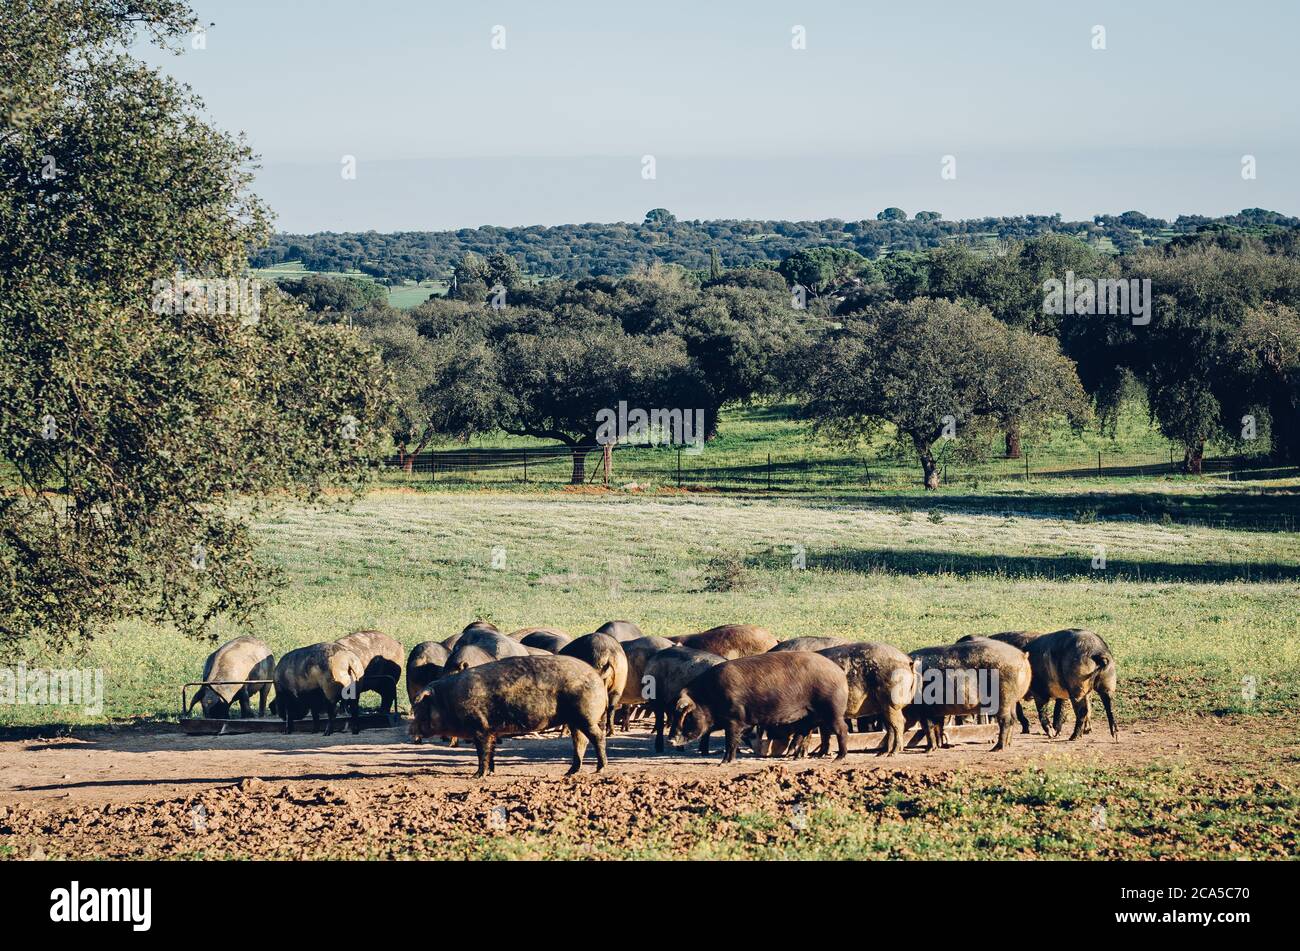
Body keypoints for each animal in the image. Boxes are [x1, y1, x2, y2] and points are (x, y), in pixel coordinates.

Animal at [676, 649, 847, 763]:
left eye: (688, 716)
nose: (672, 739)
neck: (708, 697)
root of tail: (840, 673)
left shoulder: (734, 720)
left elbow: (730, 741)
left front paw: (723, 763)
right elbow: (738, 739)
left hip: (832, 709)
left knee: (841, 729)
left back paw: (838, 758)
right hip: (810, 714)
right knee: (804, 731)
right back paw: (792, 757)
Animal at [904, 639, 1034, 748]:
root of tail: (1022, 656)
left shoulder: (924, 709)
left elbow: (928, 727)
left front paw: (929, 749)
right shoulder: (936, 711)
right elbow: (938, 727)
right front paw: (939, 746)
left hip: (1004, 697)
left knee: (1005, 720)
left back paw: (997, 748)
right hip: (1012, 700)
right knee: (1013, 719)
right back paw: (1008, 745)